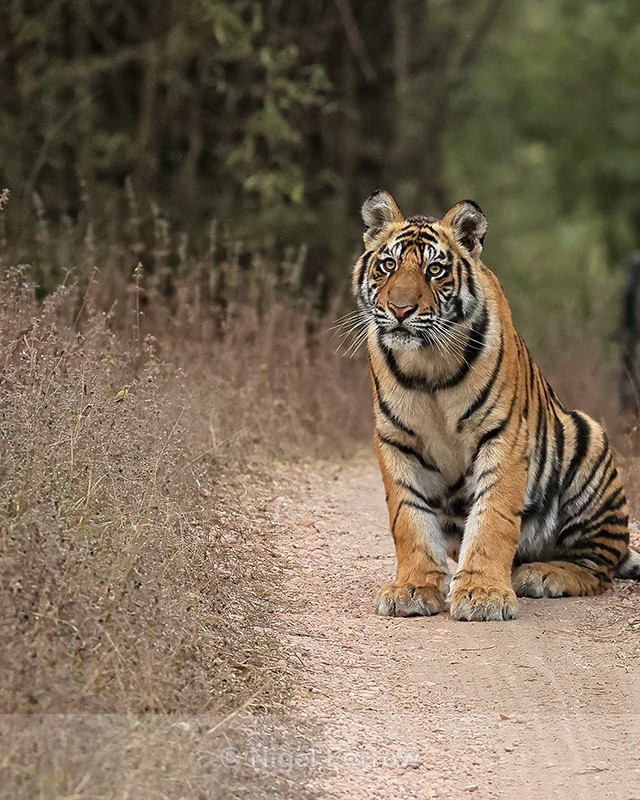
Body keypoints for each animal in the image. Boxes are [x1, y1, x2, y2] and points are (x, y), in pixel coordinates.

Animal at [352, 190, 640, 621]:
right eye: (388, 265)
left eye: (434, 270)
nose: (400, 310)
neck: (428, 364)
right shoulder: (396, 439)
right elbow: (409, 517)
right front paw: (413, 588)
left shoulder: (503, 435)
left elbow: (493, 517)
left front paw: (483, 594)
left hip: (586, 436)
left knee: (598, 566)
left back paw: (541, 574)